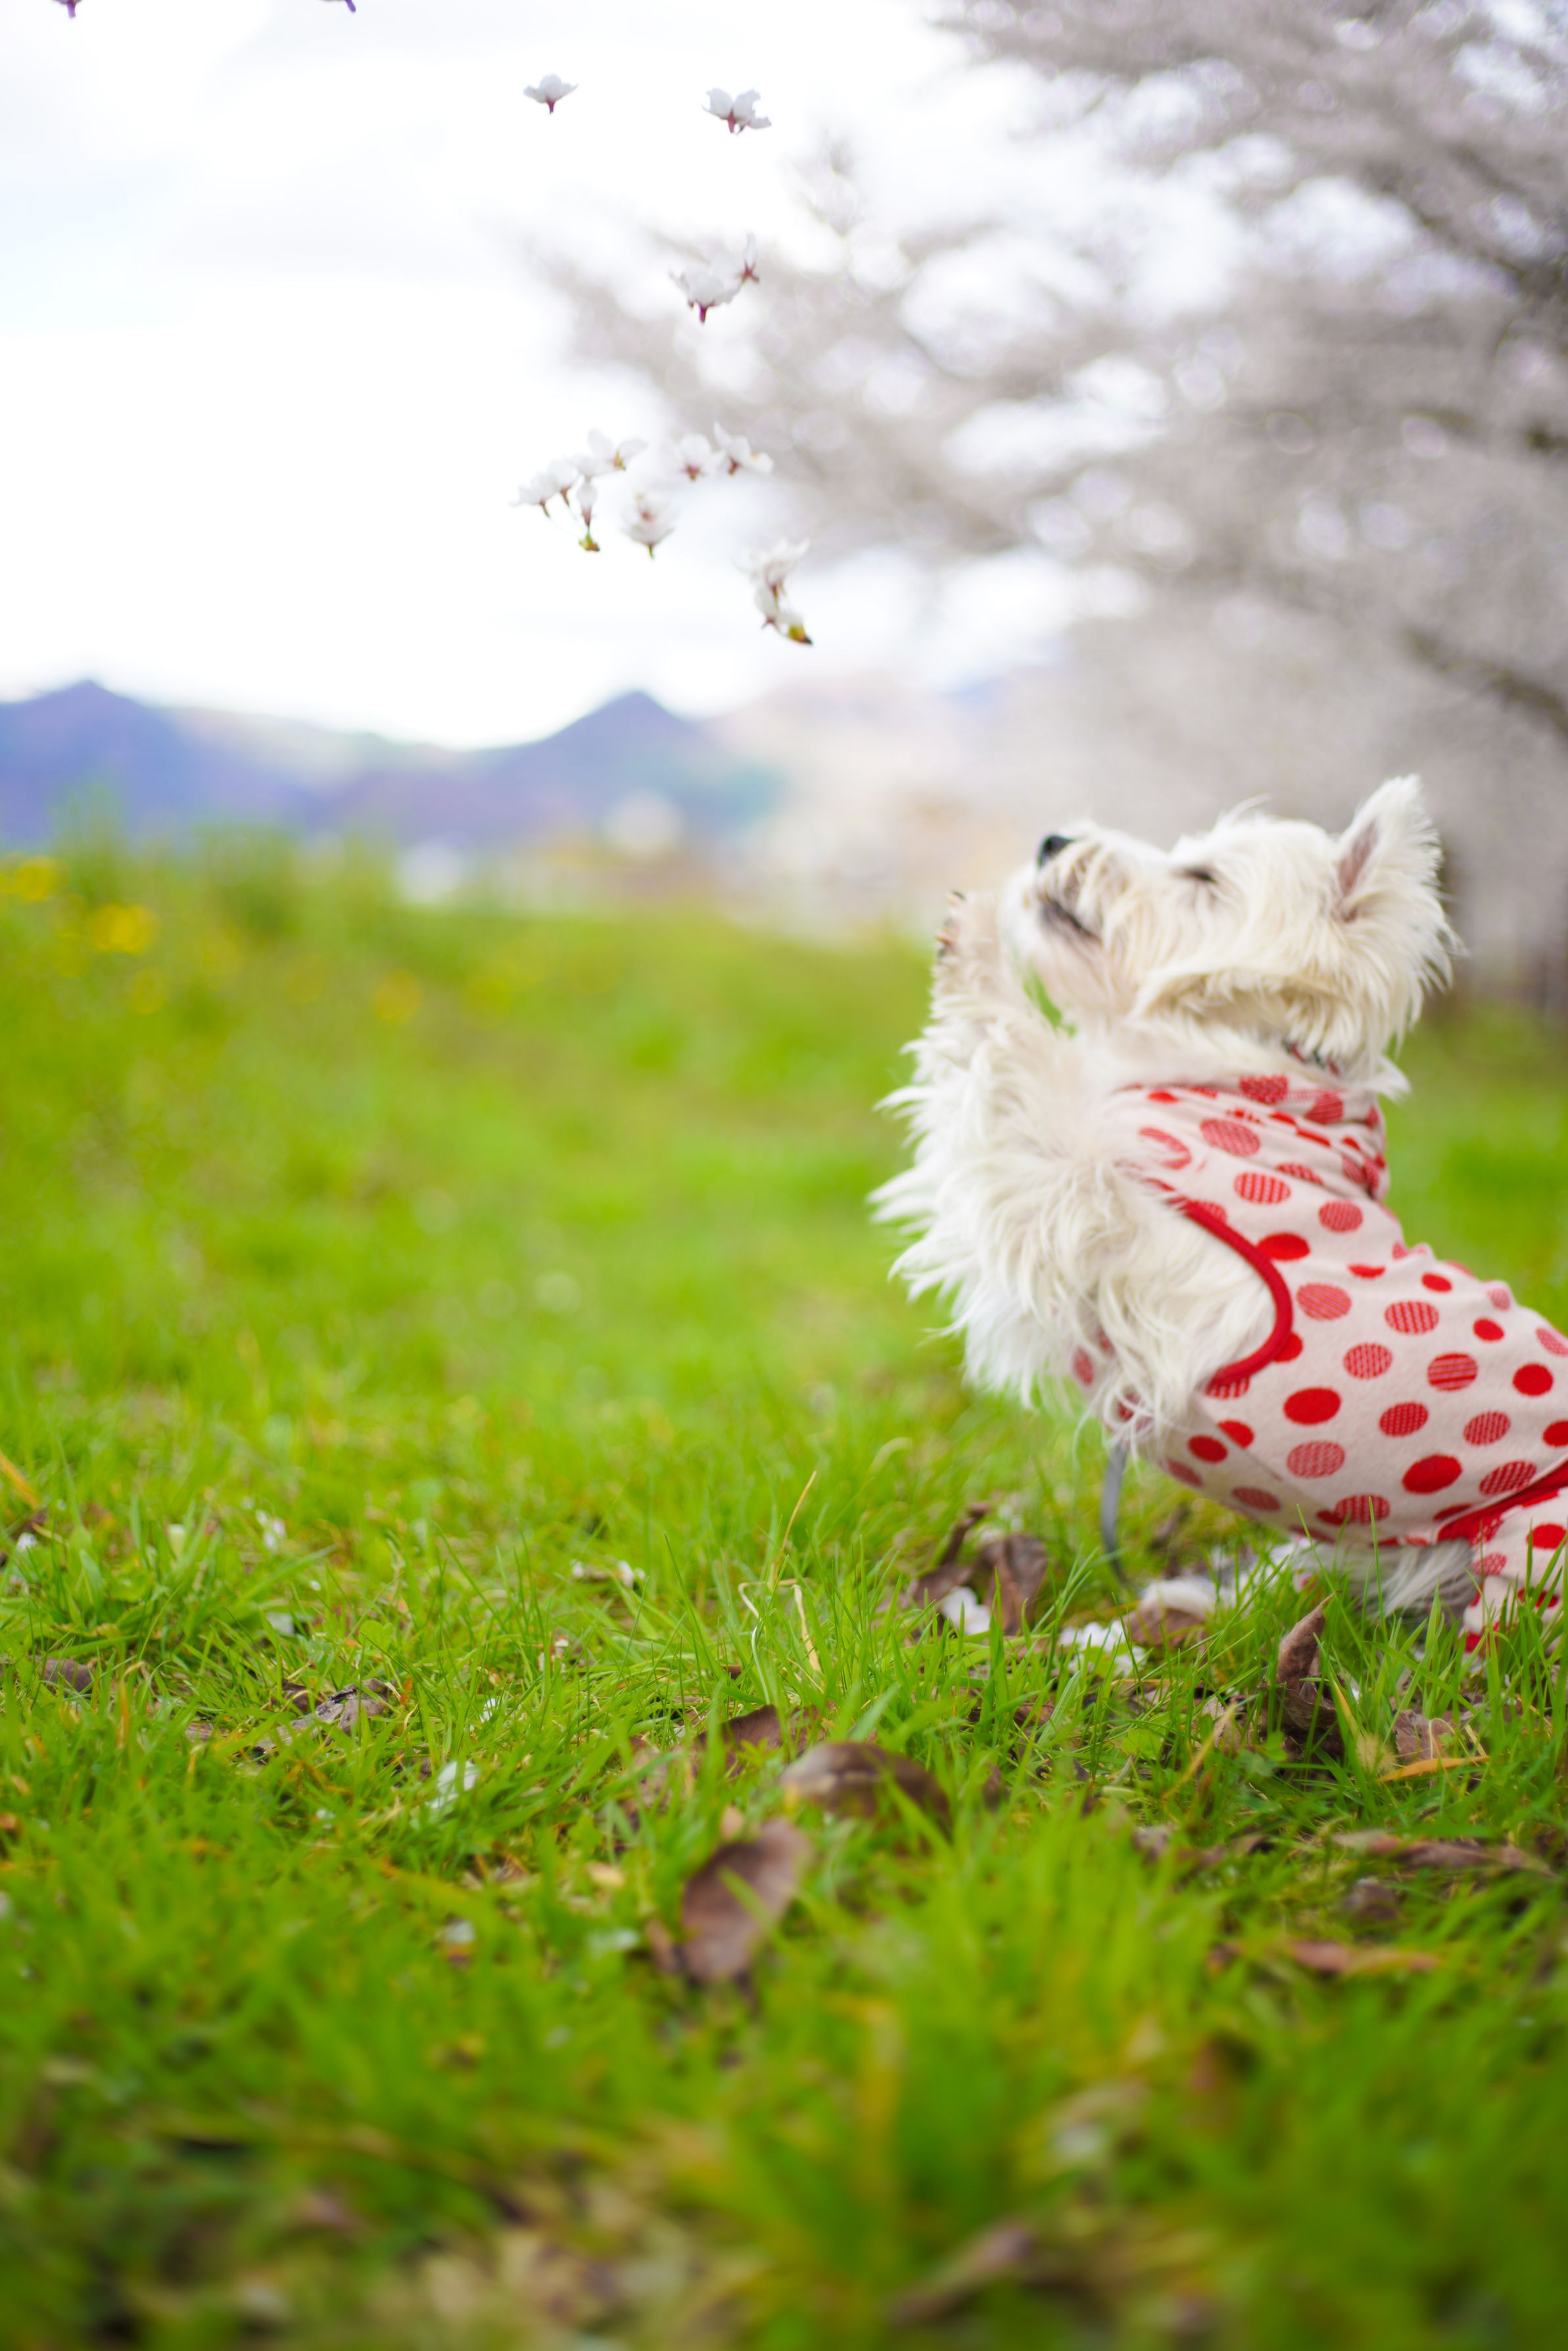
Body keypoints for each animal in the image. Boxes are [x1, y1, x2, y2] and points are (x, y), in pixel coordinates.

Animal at [876, 778, 1568, 1647]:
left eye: (1203, 878)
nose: (1052, 841)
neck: (1239, 1078)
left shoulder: (1097, 1222)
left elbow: (1023, 1081)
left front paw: (972, 948)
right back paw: (1186, 1604)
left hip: (1530, 1554)